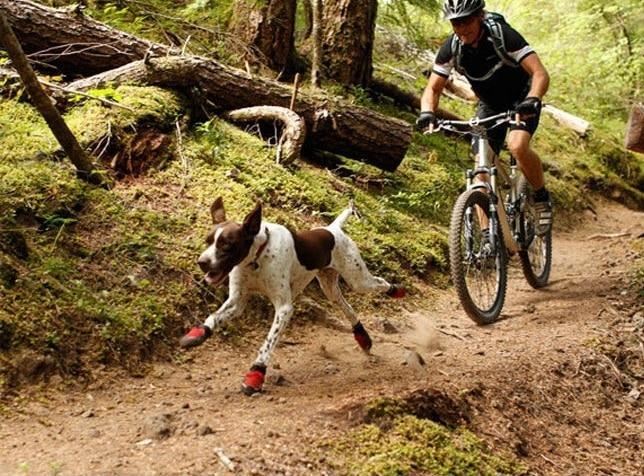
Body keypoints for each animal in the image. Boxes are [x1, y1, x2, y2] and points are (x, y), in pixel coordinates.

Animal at [180, 197, 402, 394]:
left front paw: (256, 374)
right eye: (207, 241)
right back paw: (362, 337)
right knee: (346, 306)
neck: (257, 257)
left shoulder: (284, 308)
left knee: (380, 284)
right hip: (329, 287)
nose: (201, 262)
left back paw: (396, 290)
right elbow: (214, 317)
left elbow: (268, 343)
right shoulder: (237, 301)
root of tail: (333, 229)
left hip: (358, 280)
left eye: (227, 244)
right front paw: (198, 333)